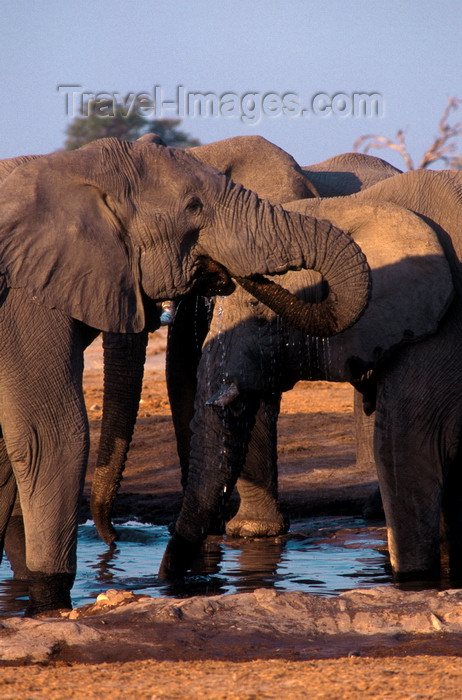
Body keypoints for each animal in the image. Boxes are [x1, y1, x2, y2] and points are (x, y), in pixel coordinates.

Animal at [159, 170, 462, 592]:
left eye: (258, 311)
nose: (170, 583)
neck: (360, 206)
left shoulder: (441, 326)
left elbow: (402, 445)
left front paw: (413, 583)